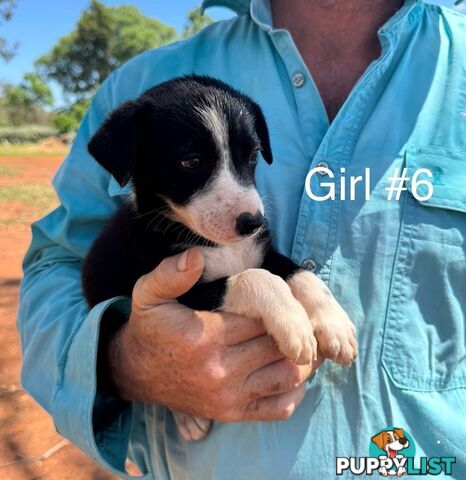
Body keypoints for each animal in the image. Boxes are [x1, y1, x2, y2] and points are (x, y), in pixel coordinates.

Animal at [83, 76, 356, 442]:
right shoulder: (187, 290)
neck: (218, 244)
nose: (252, 221)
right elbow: (257, 278)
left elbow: (299, 273)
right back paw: (187, 417)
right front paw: (294, 322)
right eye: (191, 162)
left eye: (253, 155)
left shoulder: (263, 252)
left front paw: (334, 322)